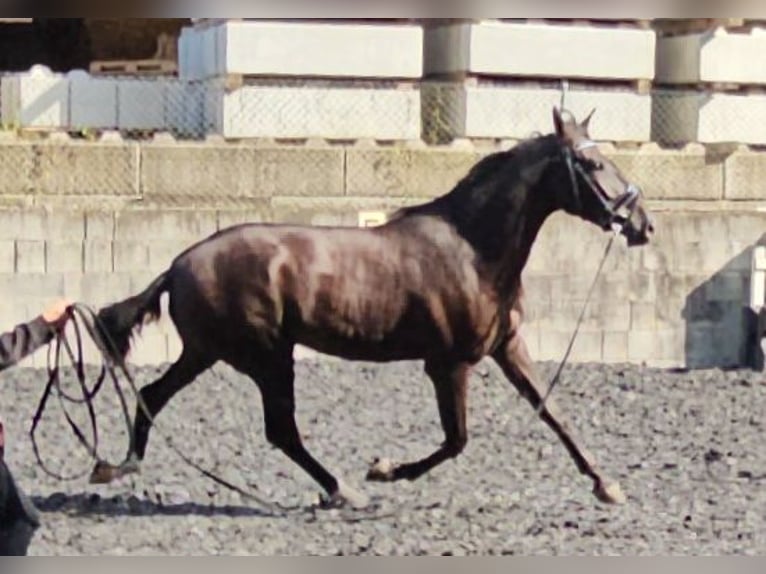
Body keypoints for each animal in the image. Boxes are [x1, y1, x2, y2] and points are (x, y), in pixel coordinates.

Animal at [88, 108, 654, 509]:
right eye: (593, 164)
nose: (643, 224)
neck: (473, 248)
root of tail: (178, 264)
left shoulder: (507, 346)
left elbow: (554, 414)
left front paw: (606, 485)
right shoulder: (449, 364)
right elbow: (457, 440)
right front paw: (383, 470)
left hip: (208, 352)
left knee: (155, 396)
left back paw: (117, 466)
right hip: (266, 357)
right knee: (280, 430)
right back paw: (344, 490)